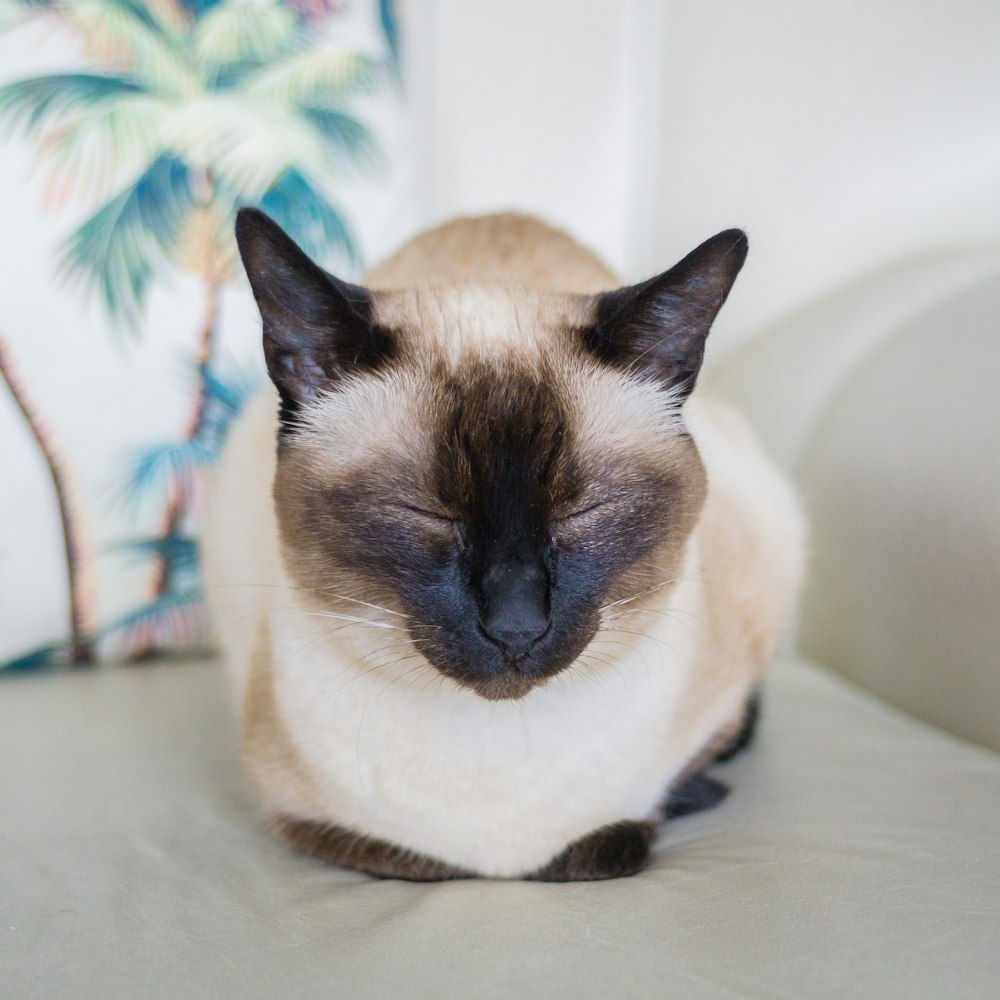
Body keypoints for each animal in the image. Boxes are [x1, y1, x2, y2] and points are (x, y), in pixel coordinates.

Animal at [203, 207, 804, 880]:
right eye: (426, 513)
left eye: (583, 512)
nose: (516, 625)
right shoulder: (311, 822)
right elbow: (412, 855)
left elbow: (618, 836)